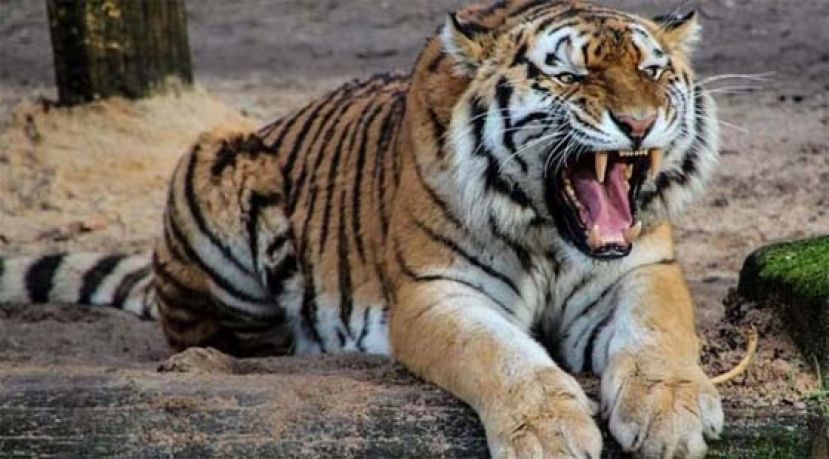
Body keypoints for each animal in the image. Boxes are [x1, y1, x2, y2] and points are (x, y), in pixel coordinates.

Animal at [0, 1, 727, 457]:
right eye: (569, 74)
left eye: (652, 71)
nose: (639, 123)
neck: (550, 234)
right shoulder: (436, 293)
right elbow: (502, 355)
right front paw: (549, 432)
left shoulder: (641, 269)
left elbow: (659, 334)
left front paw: (671, 412)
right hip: (218, 154)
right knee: (216, 337)